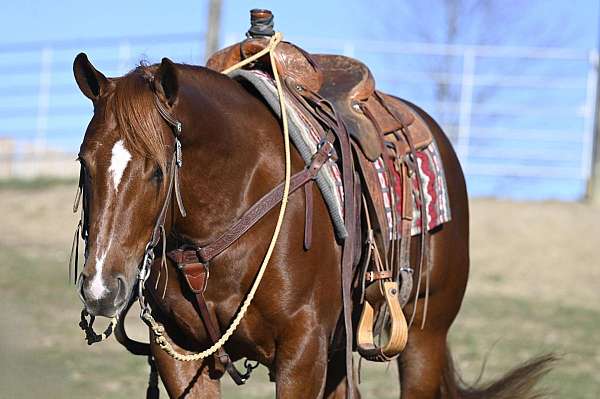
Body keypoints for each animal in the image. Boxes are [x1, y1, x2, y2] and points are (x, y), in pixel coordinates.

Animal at [74, 54, 552, 399]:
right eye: (84, 162)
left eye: (158, 172)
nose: (101, 289)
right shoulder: (178, 355)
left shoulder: (302, 354)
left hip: (424, 336)